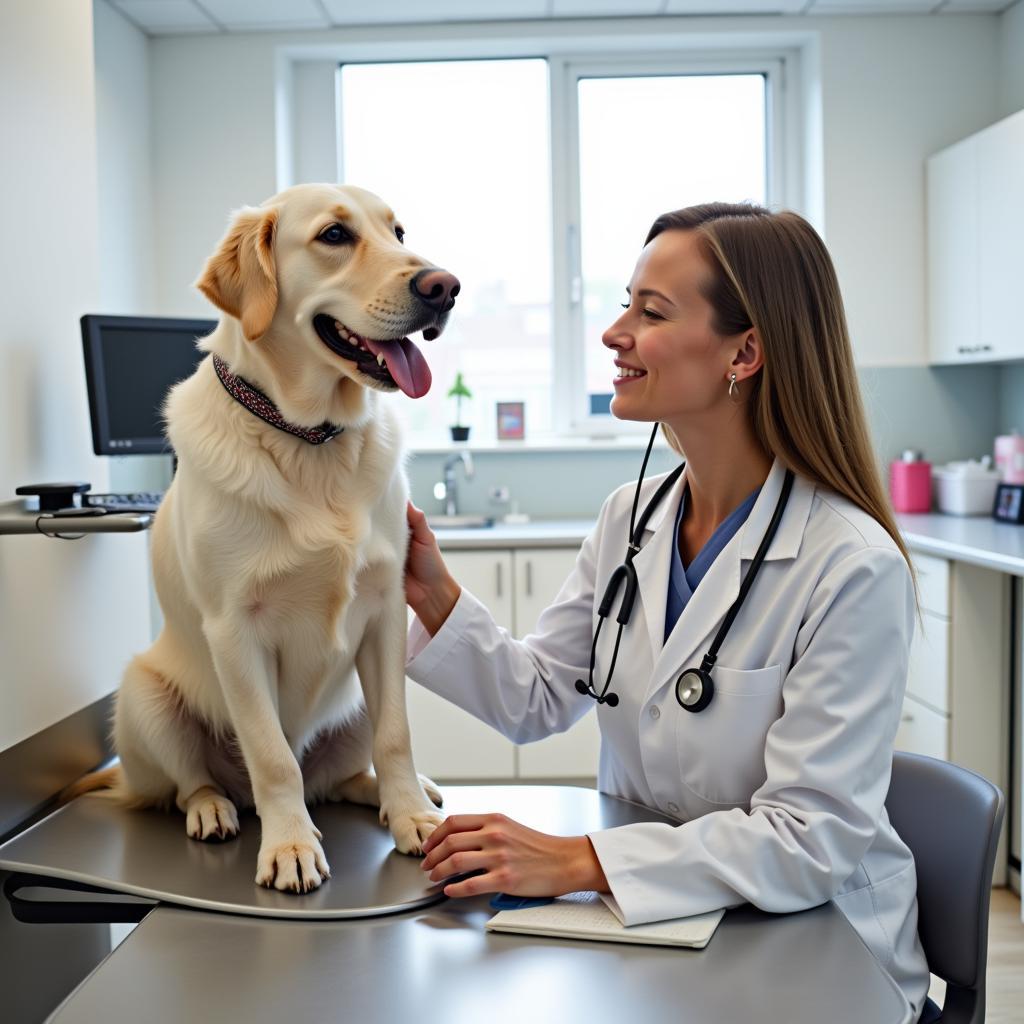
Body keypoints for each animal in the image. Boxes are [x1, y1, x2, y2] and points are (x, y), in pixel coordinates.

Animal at [72, 184, 456, 888]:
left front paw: (413, 817)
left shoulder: (387, 611)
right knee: (195, 784)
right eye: (335, 235)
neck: (314, 441)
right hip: (143, 697)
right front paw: (290, 848)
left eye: (398, 232)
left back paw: (409, 793)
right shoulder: (234, 630)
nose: (445, 286)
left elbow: (396, 735)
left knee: (339, 775)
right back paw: (214, 809)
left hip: (354, 702)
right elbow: (272, 756)